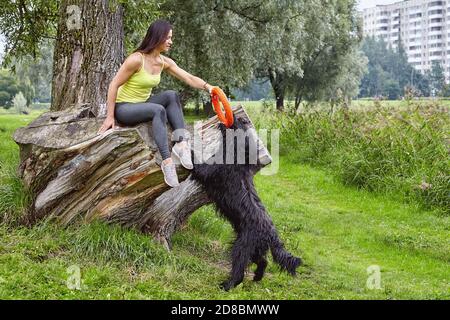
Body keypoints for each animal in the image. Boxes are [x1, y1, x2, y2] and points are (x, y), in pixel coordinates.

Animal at [191, 114, 302, 290]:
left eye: (240, 123)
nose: (238, 116)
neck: (237, 157)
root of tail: (272, 234)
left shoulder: (208, 170)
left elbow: (195, 161)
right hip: (255, 248)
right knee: (263, 261)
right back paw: (257, 277)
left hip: (241, 246)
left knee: (239, 272)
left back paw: (227, 285)